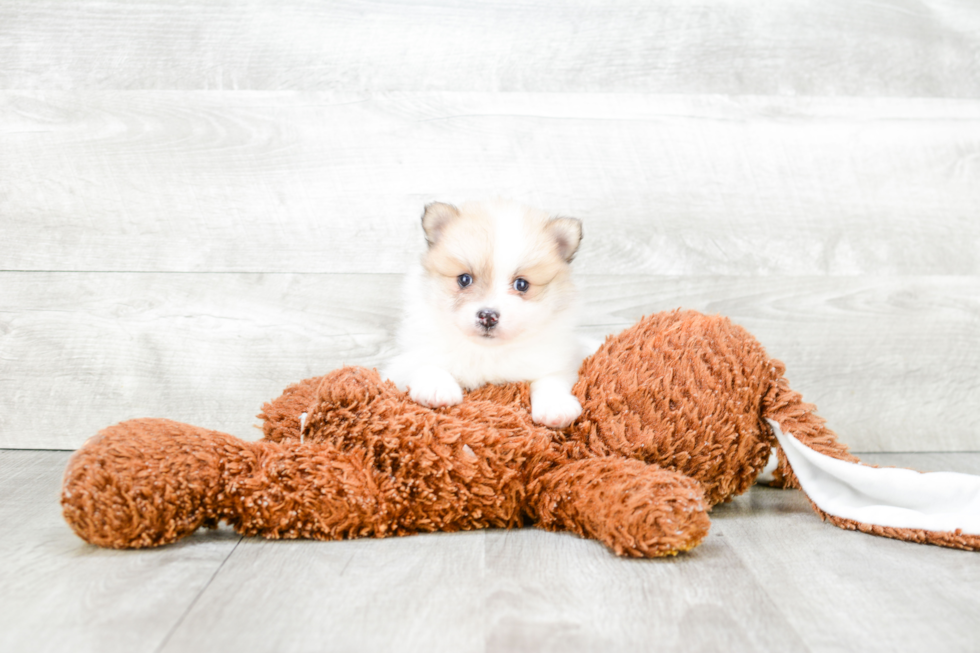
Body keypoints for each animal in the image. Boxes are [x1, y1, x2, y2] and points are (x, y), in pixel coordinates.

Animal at [382, 199, 584, 428]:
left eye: (521, 284)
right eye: (464, 279)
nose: (488, 316)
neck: (486, 352)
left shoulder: (557, 361)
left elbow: (550, 379)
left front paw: (555, 406)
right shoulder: (400, 364)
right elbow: (425, 364)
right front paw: (437, 388)